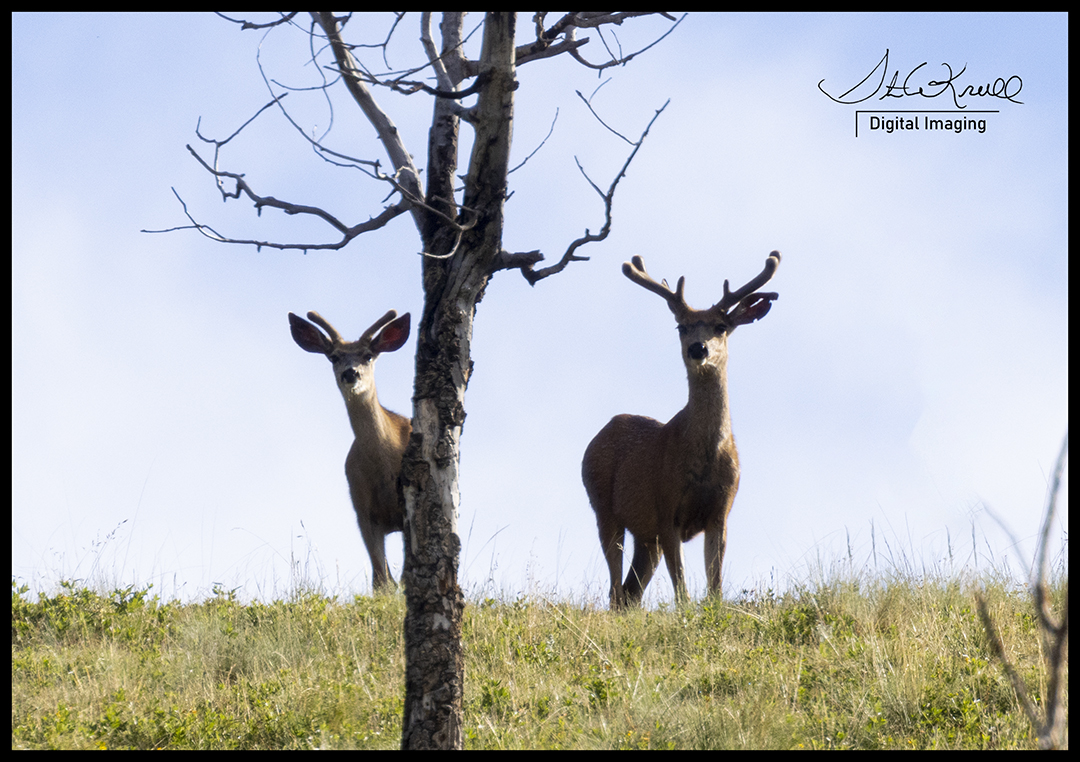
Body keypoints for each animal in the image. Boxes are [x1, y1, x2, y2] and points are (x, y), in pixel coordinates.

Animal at [582, 251, 780, 609]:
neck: (705, 460)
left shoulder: (720, 511)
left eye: (721, 326)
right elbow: (683, 592)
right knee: (616, 590)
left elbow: (714, 587)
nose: (698, 348)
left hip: (646, 537)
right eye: (681, 326)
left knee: (631, 592)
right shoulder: (666, 508)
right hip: (604, 507)